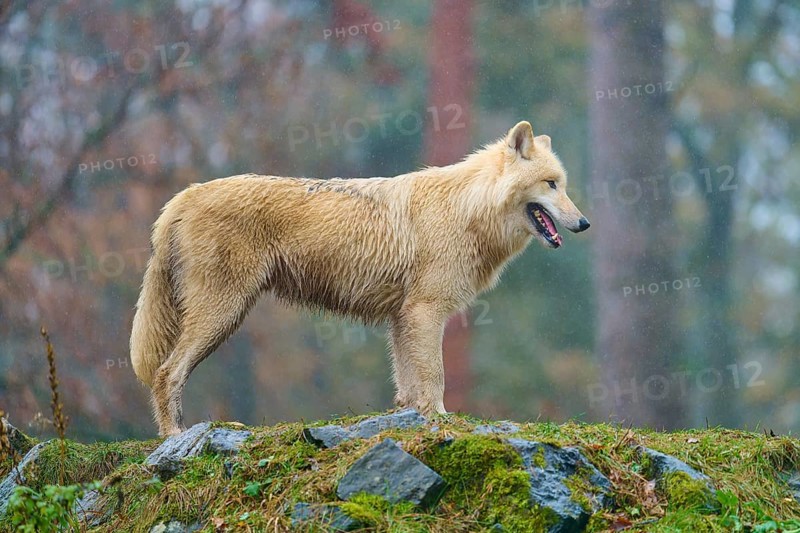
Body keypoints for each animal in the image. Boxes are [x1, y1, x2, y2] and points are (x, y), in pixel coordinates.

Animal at [130, 121, 590, 436]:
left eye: (564, 185)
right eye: (551, 184)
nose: (584, 223)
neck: (468, 211)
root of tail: (183, 196)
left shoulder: (402, 319)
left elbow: (408, 388)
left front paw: (411, 418)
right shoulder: (424, 313)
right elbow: (434, 378)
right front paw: (442, 421)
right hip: (223, 314)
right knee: (167, 373)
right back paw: (174, 436)